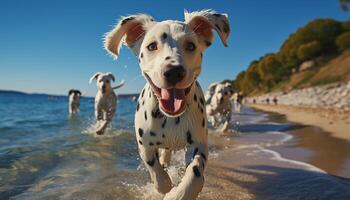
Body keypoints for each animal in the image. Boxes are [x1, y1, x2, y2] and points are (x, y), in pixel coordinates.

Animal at [102, 10, 231, 199]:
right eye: (151, 46)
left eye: (190, 46)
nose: (174, 71)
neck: (170, 118)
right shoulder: (145, 145)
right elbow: (155, 170)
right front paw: (165, 187)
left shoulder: (198, 144)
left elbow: (195, 175)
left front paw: (177, 193)